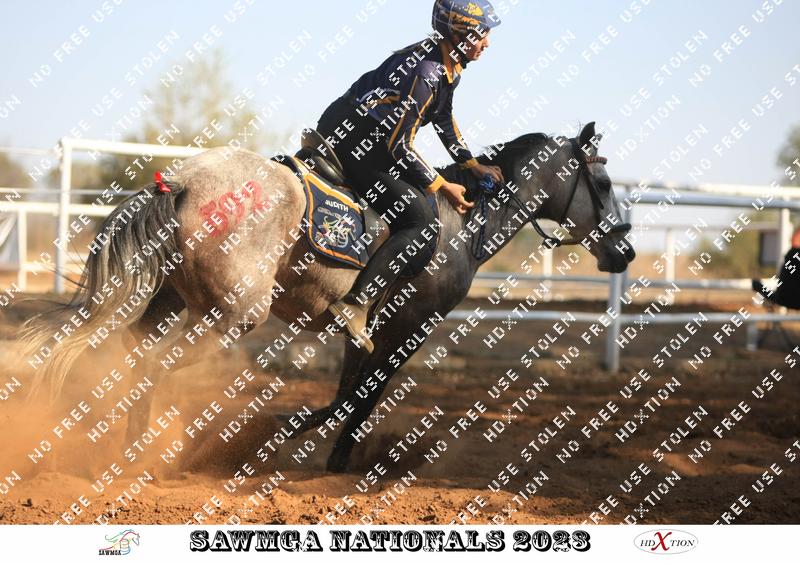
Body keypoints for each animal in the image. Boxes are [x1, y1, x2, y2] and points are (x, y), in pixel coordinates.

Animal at [20, 121, 634, 473]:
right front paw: (302, 445)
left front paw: (312, 448)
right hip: (229, 316)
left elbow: (348, 395)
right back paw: (142, 455)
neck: (463, 223)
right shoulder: (406, 328)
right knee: (152, 364)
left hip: (165, 303)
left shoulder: (361, 331)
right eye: (604, 185)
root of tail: (184, 181)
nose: (624, 249)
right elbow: (357, 398)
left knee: (133, 359)